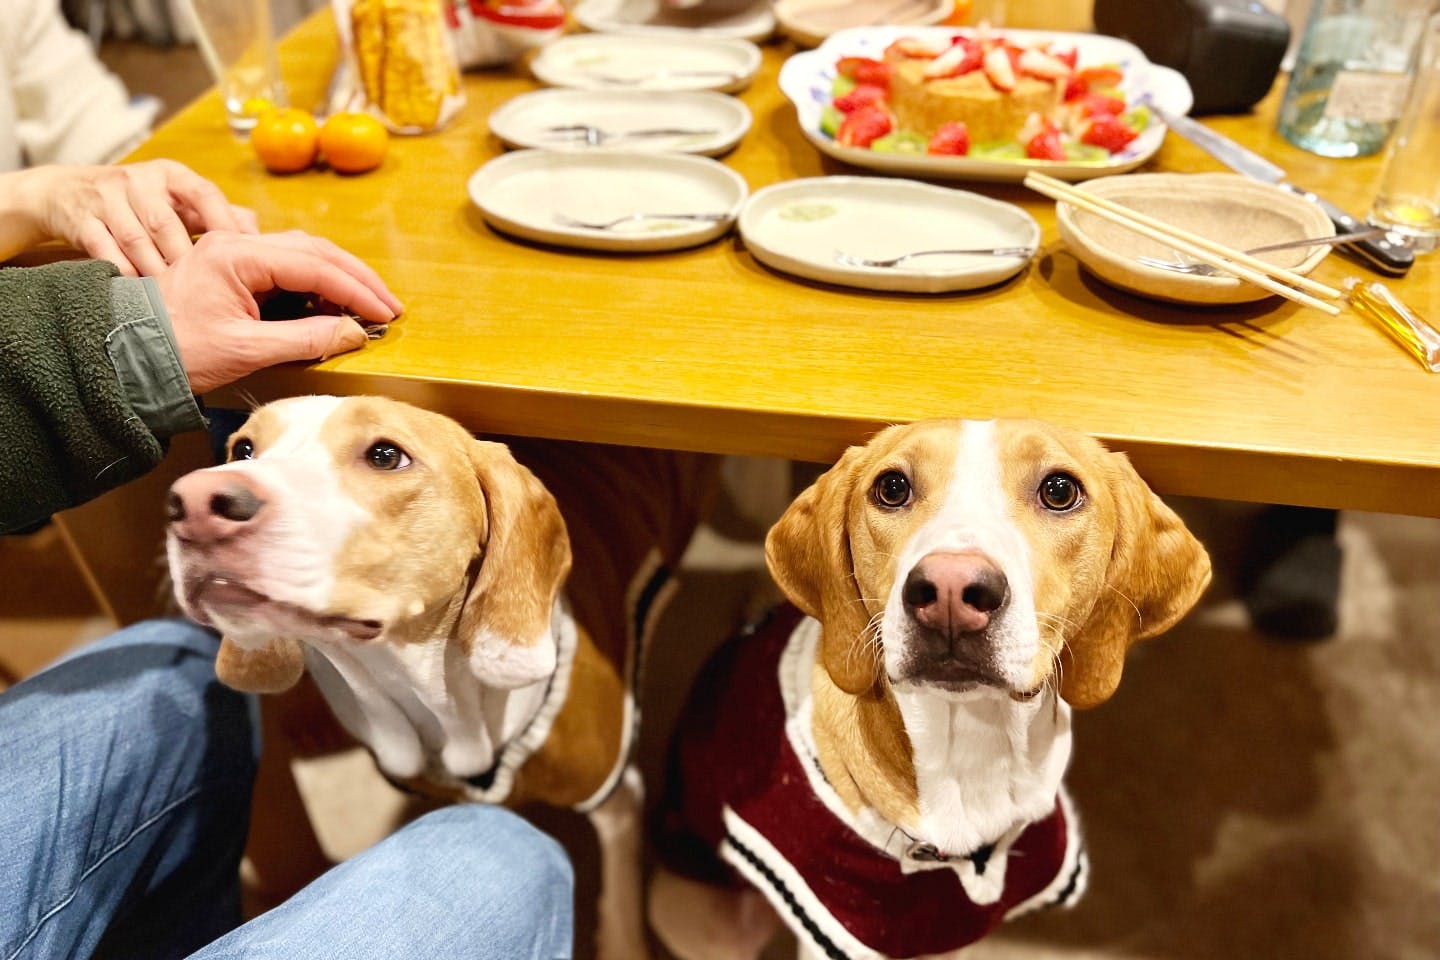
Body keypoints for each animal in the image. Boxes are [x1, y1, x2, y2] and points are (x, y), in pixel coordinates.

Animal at [165, 394, 717, 955]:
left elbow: (621, 913)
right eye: (243, 449)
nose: (193, 503)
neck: (432, 702)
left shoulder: (618, 800)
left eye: (386, 455)